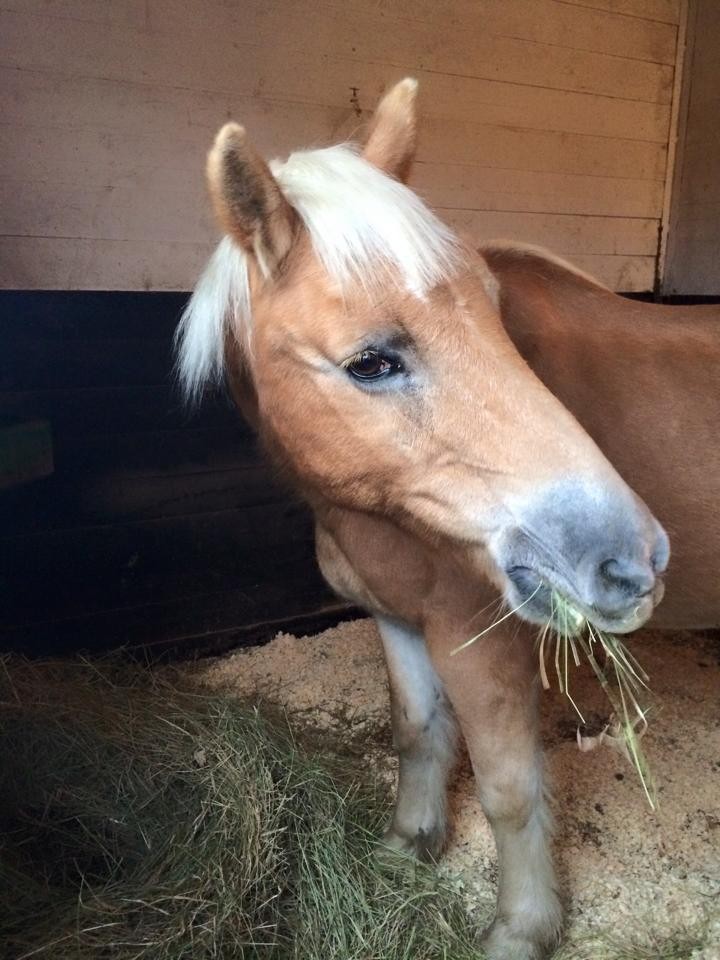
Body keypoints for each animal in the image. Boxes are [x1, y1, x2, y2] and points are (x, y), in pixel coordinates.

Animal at [177, 79, 716, 956]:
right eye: (369, 362)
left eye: (496, 315)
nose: (629, 559)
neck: (384, 523)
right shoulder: (398, 621)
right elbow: (418, 732)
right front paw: (407, 846)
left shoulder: (480, 644)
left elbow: (509, 789)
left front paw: (520, 928)